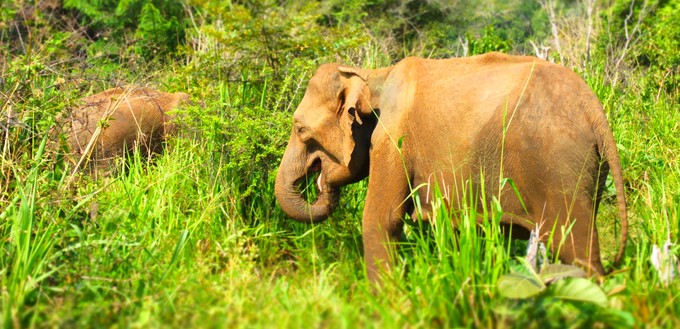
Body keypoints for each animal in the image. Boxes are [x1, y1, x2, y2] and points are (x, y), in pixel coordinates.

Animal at [274, 52, 628, 280]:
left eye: (300, 130)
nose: (320, 182)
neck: (373, 75)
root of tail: (595, 111)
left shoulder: (393, 140)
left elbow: (380, 220)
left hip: (559, 166)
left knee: (577, 248)